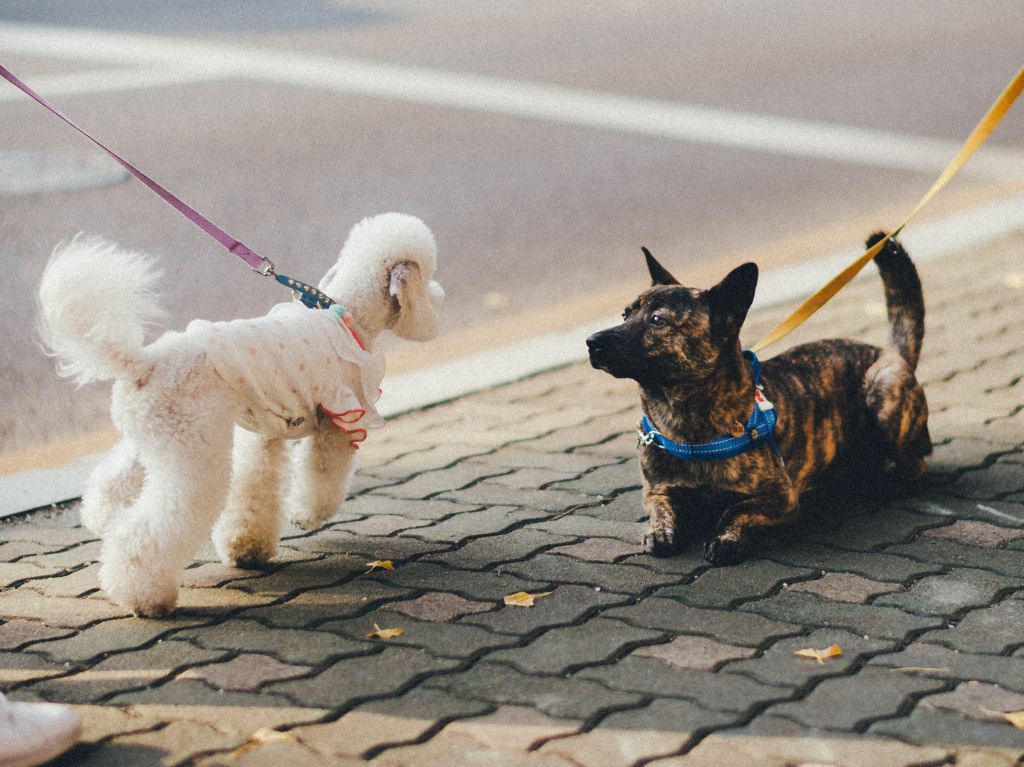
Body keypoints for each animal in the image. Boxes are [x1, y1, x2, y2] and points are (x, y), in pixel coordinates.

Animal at [585, 233, 929, 561]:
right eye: (625, 315)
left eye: (657, 320)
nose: (591, 341)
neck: (683, 420)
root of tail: (891, 353)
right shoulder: (656, 491)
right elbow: (661, 508)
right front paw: (660, 531)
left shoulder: (782, 497)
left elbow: (736, 508)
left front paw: (725, 538)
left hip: (883, 392)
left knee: (916, 464)